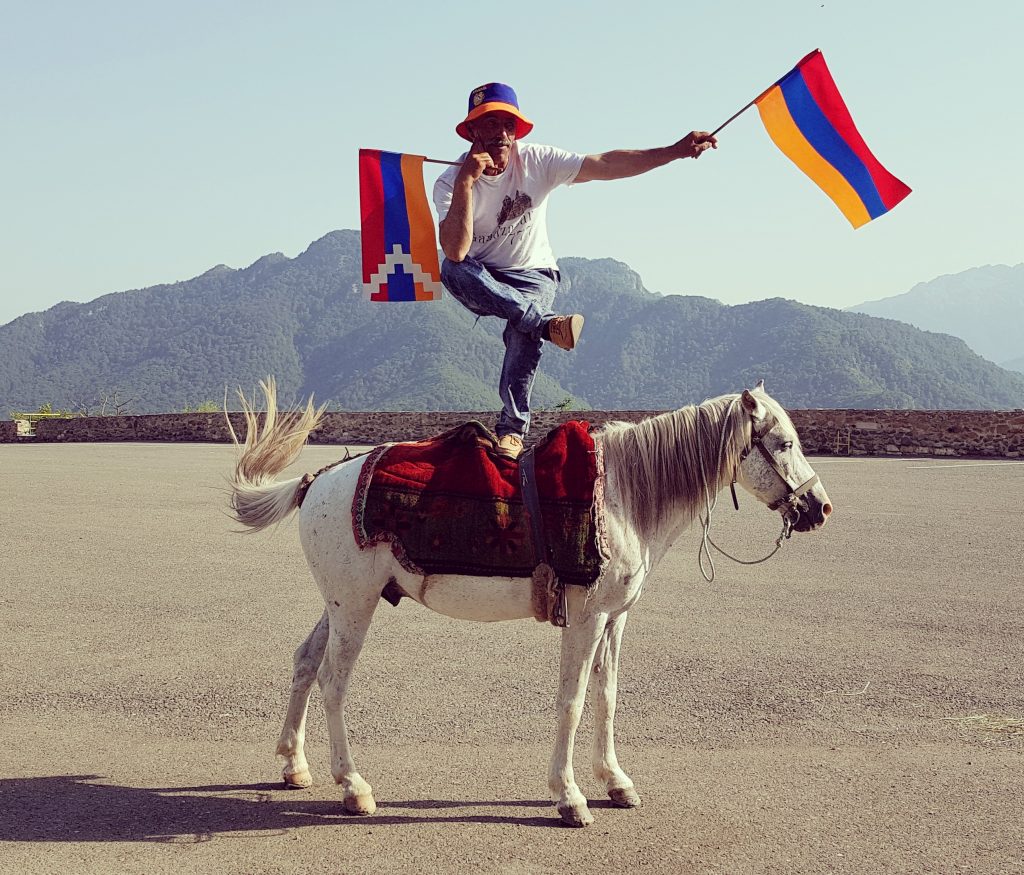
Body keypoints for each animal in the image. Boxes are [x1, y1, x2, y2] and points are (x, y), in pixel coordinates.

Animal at [228, 379, 827, 827]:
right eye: (785, 443)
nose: (819, 507)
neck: (622, 496)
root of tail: (319, 479)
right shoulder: (586, 618)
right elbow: (573, 701)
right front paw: (569, 797)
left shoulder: (615, 619)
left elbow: (607, 697)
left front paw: (616, 782)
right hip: (355, 604)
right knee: (333, 680)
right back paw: (353, 786)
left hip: (342, 601)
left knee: (306, 662)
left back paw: (294, 765)